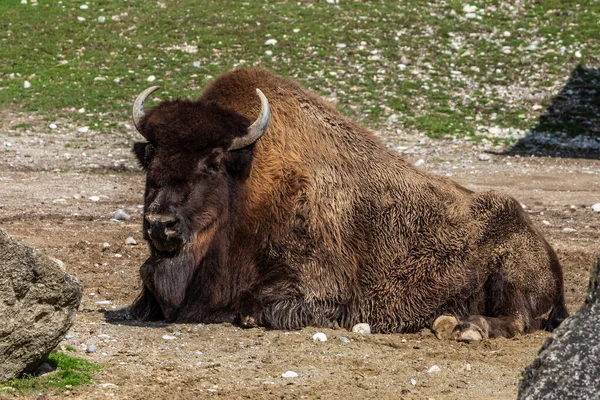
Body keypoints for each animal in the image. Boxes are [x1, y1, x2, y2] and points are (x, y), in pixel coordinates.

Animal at [130, 66, 568, 340]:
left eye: (213, 162)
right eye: (151, 155)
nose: (160, 224)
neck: (249, 178)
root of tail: (546, 247)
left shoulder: (317, 287)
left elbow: (254, 308)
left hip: (509, 275)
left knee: (517, 319)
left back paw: (463, 327)